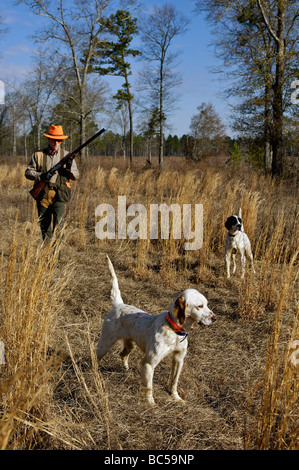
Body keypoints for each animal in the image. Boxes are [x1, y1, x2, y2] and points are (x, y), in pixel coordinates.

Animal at [96, 255, 216, 406]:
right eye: (200, 306)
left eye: (207, 305)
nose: (215, 318)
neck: (174, 331)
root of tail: (119, 305)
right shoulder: (149, 363)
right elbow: (148, 387)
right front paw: (151, 404)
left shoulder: (179, 359)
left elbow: (174, 382)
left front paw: (176, 397)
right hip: (105, 344)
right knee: (95, 357)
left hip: (130, 344)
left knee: (122, 355)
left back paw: (126, 369)